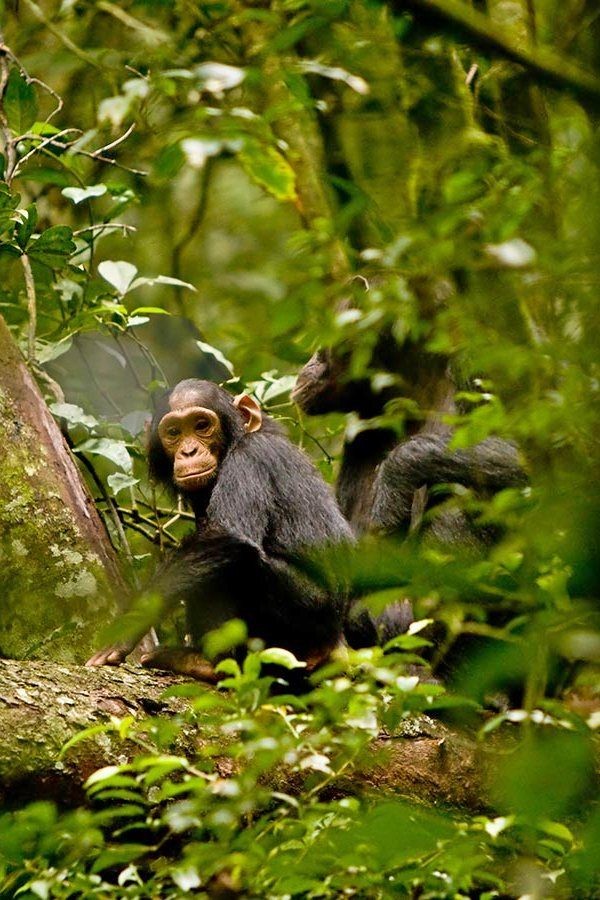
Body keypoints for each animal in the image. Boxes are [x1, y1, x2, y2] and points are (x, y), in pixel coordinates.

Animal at [86, 380, 354, 684]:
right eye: (174, 432)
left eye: (202, 425)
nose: (189, 451)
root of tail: (335, 649)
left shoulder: (249, 460)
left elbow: (225, 535)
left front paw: (127, 626)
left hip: (304, 616)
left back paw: (206, 664)